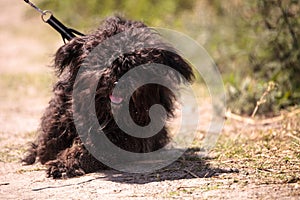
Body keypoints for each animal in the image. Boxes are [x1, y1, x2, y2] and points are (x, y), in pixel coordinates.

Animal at [22, 16, 193, 178]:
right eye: (103, 59)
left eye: (136, 64)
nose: (118, 81)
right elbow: (48, 145)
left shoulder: (128, 137)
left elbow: (92, 150)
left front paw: (64, 165)